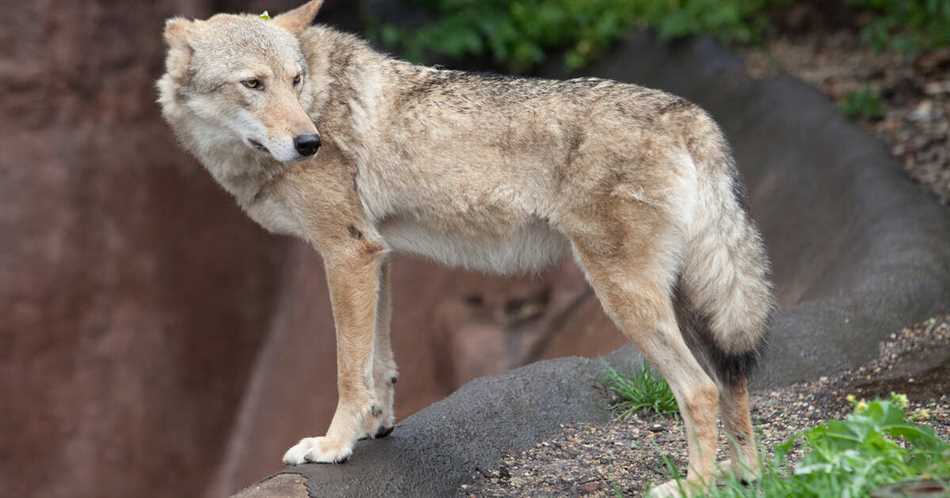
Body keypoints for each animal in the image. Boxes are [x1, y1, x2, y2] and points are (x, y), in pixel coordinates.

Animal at [156, 1, 772, 496]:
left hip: (626, 299)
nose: (309, 142)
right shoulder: (376, 255)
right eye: (253, 84)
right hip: (689, 301)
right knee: (733, 383)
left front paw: (333, 446)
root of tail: (690, 114)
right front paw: (377, 426)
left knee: (700, 390)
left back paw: (692, 484)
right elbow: (379, 363)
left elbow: (347, 370)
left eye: (295, 79)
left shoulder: (346, 255)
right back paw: (744, 476)